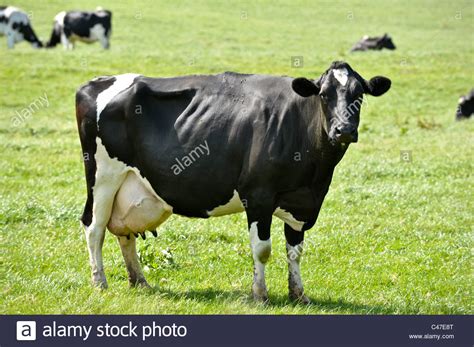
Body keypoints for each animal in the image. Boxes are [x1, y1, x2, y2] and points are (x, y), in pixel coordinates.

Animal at [76, 61, 390, 304]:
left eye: (359, 94)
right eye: (324, 95)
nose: (343, 130)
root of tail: (96, 82)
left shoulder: (302, 203)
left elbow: (295, 251)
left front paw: (299, 294)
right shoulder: (259, 195)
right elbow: (262, 249)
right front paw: (260, 294)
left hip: (126, 188)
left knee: (123, 232)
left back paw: (139, 281)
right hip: (103, 177)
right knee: (94, 227)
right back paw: (100, 282)